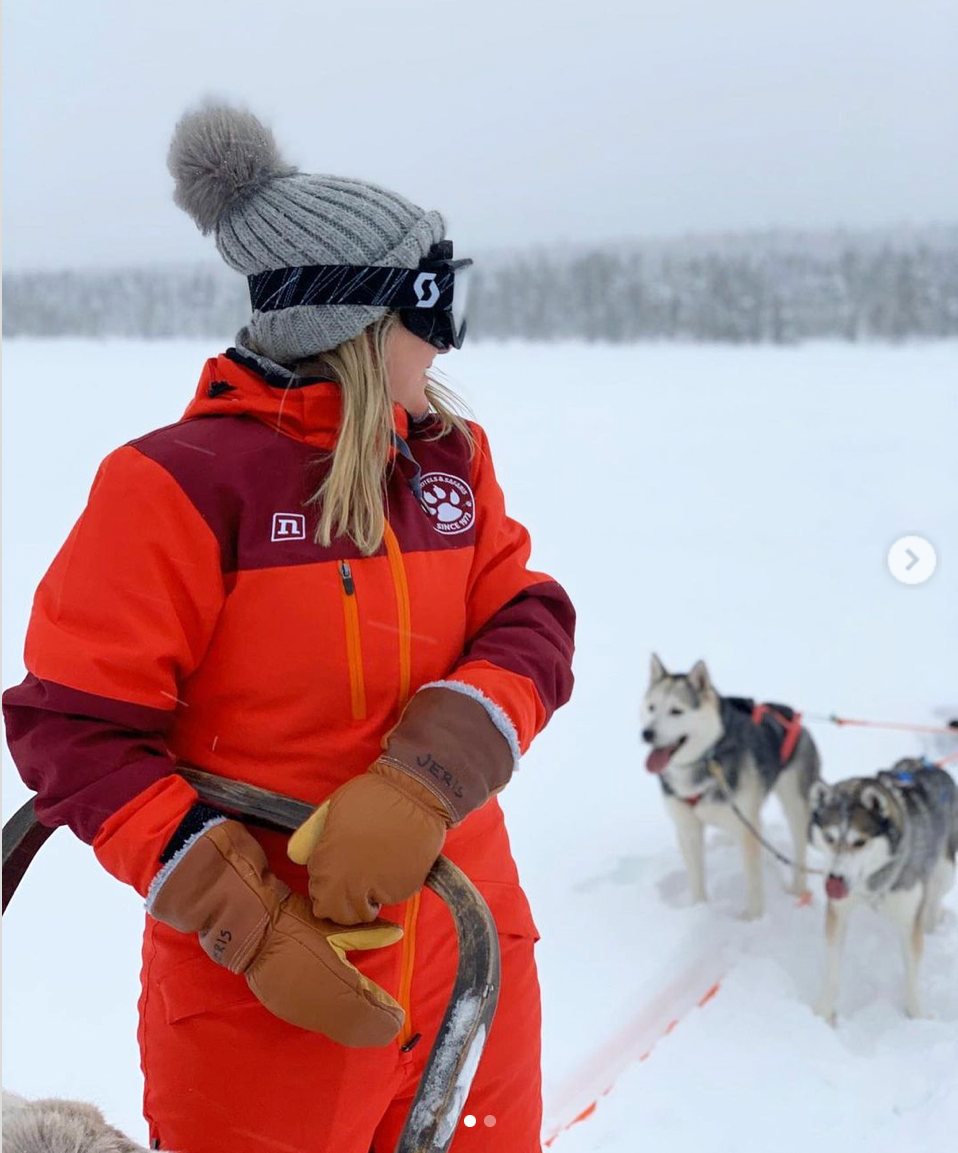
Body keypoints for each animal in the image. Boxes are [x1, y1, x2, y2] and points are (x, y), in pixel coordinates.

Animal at [645, 659, 816, 917]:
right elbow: (696, 875)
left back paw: (798, 889)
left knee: (799, 849)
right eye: (651, 708)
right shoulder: (687, 827)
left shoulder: (746, 829)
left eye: (676, 711)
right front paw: (698, 907)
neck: (706, 760)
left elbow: (753, 880)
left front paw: (752, 918)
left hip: (794, 804)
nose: (646, 733)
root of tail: (790, 715)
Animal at [811, 760, 958, 1023]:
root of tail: (928, 765)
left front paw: (918, 1018)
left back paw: (932, 922)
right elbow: (832, 970)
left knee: (934, 899)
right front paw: (822, 1013)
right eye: (829, 838)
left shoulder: (909, 918)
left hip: (945, 872)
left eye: (859, 842)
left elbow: (912, 973)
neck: (872, 881)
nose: (835, 880)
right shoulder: (839, 912)